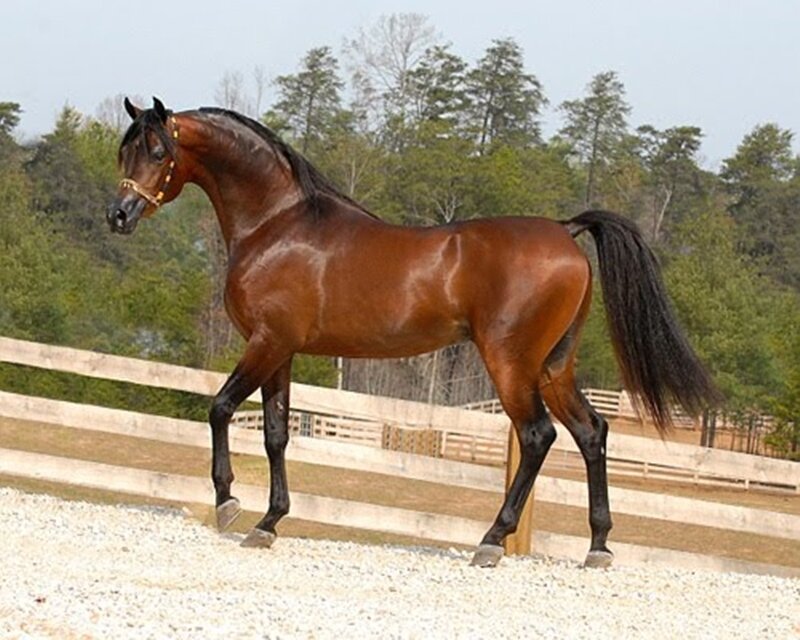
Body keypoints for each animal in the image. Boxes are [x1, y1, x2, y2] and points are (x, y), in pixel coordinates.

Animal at [109, 97, 718, 568]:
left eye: (159, 152)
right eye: (124, 150)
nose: (119, 215)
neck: (277, 224)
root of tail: (565, 232)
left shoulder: (266, 343)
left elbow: (220, 408)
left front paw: (227, 503)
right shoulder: (281, 351)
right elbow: (276, 433)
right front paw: (269, 522)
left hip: (511, 363)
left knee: (537, 436)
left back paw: (491, 541)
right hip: (553, 366)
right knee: (591, 433)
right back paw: (598, 547)